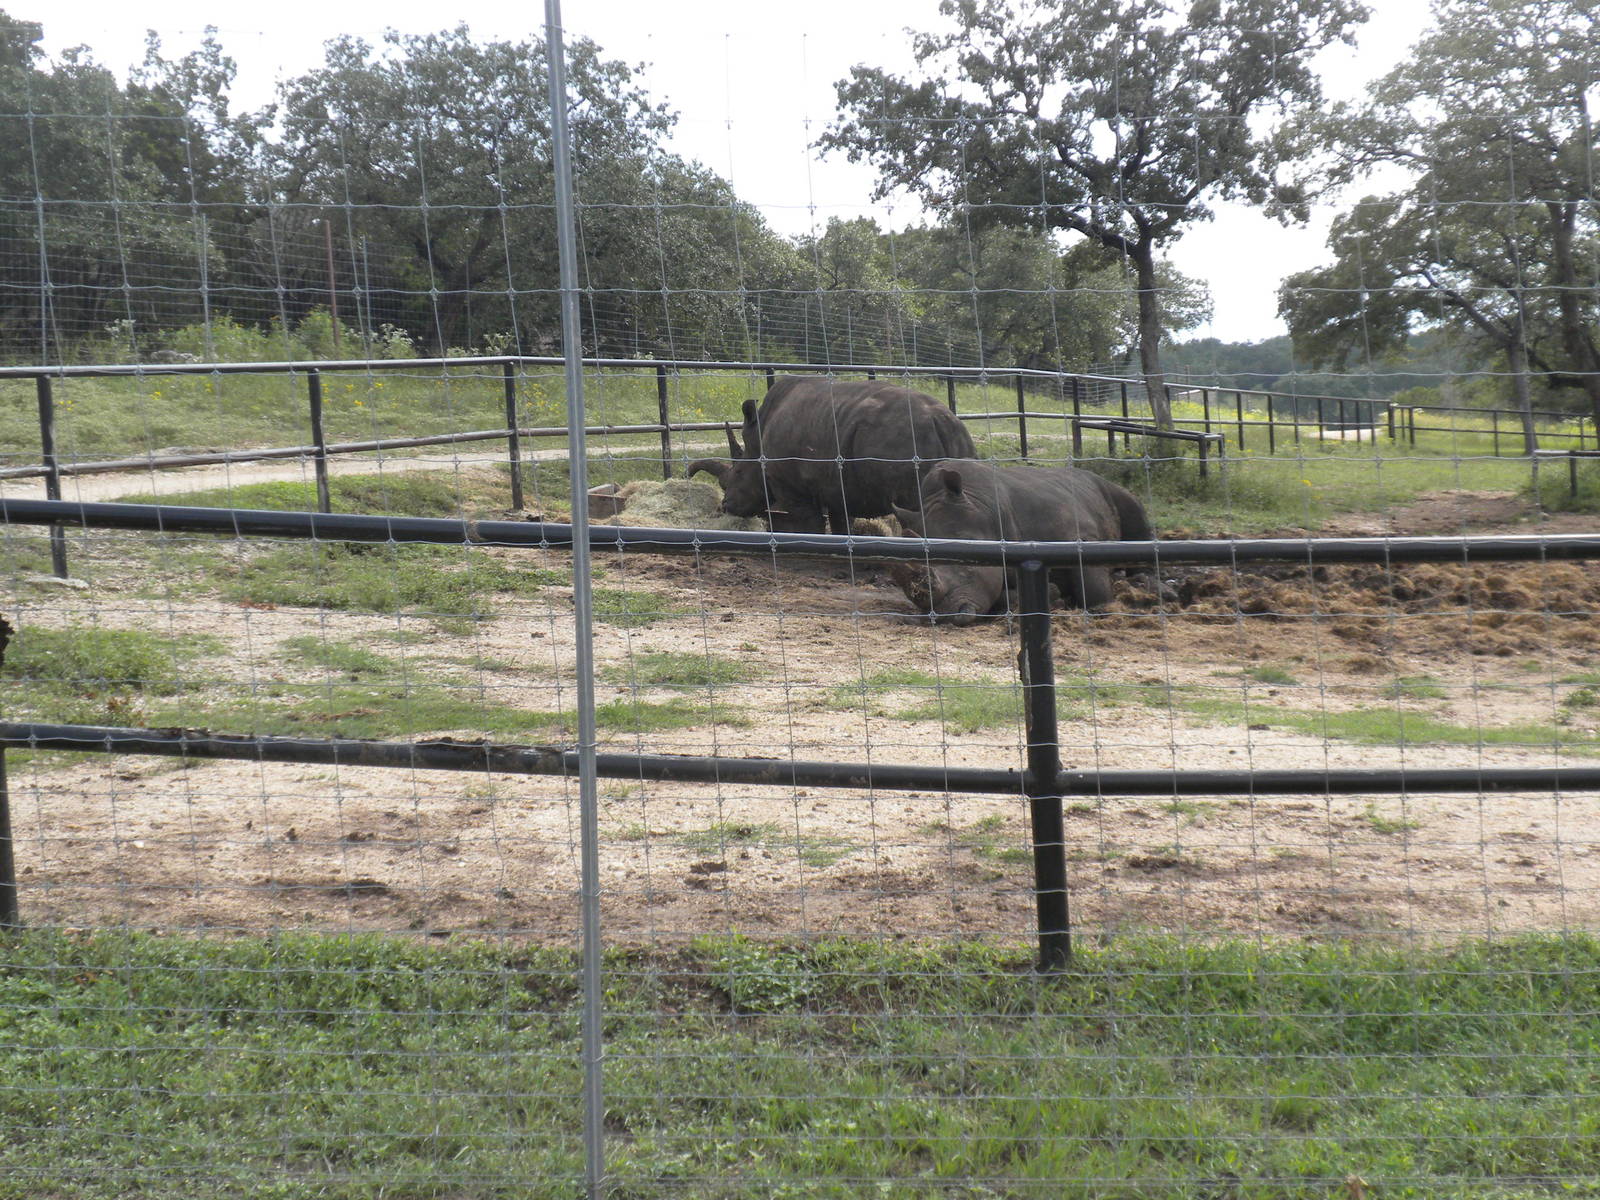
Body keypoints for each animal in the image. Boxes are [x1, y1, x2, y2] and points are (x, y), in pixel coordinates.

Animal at [687, 377, 976, 534]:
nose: (726, 506)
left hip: (906, 441)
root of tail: (940, 421)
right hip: (958, 439)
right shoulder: (838, 487)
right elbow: (841, 525)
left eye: (736, 474)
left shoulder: (791, 486)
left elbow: (812, 524)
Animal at [891, 459, 1155, 625]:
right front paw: (1054, 594)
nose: (942, 616)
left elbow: (1092, 587)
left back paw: (1142, 582)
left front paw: (1107, 608)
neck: (987, 513)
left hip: (1109, 488)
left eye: (966, 560)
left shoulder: (1080, 536)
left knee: (1134, 508)